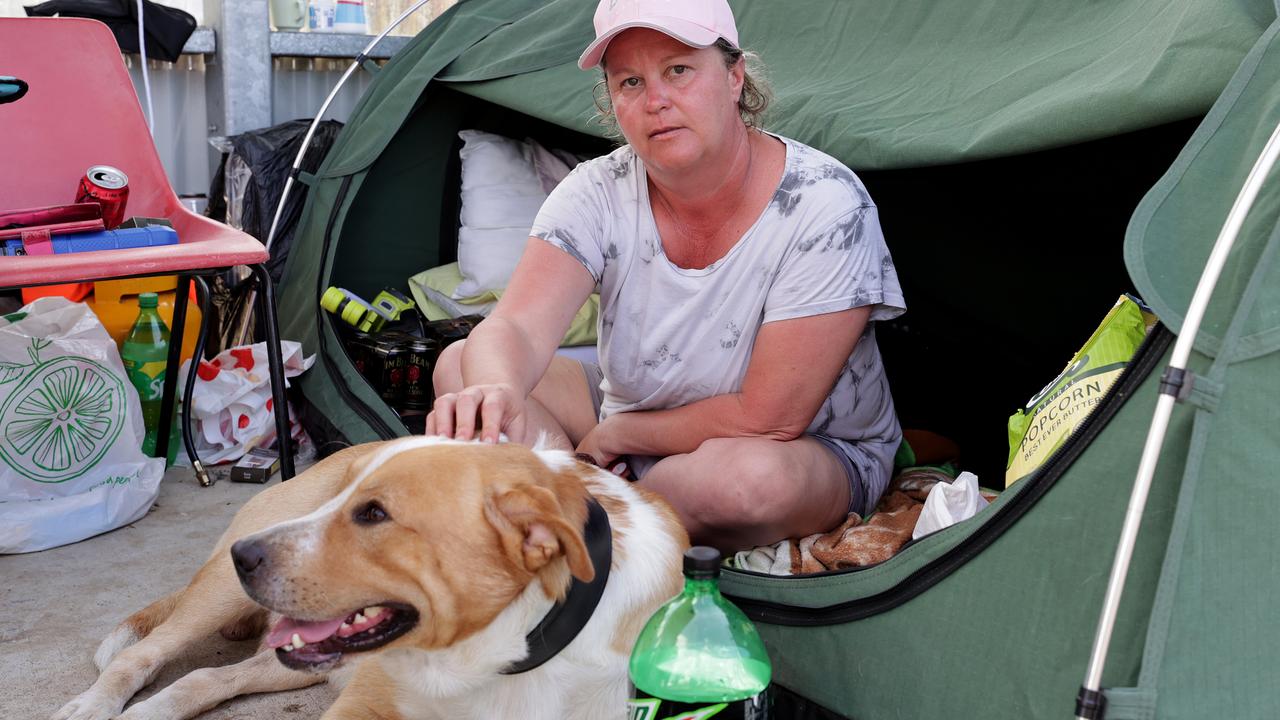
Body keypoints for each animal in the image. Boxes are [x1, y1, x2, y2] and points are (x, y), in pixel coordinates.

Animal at [49, 435, 691, 712]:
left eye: (375, 514)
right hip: (220, 599)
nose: (243, 555)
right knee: (140, 656)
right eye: (351, 496)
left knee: (205, 678)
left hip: (300, 658)